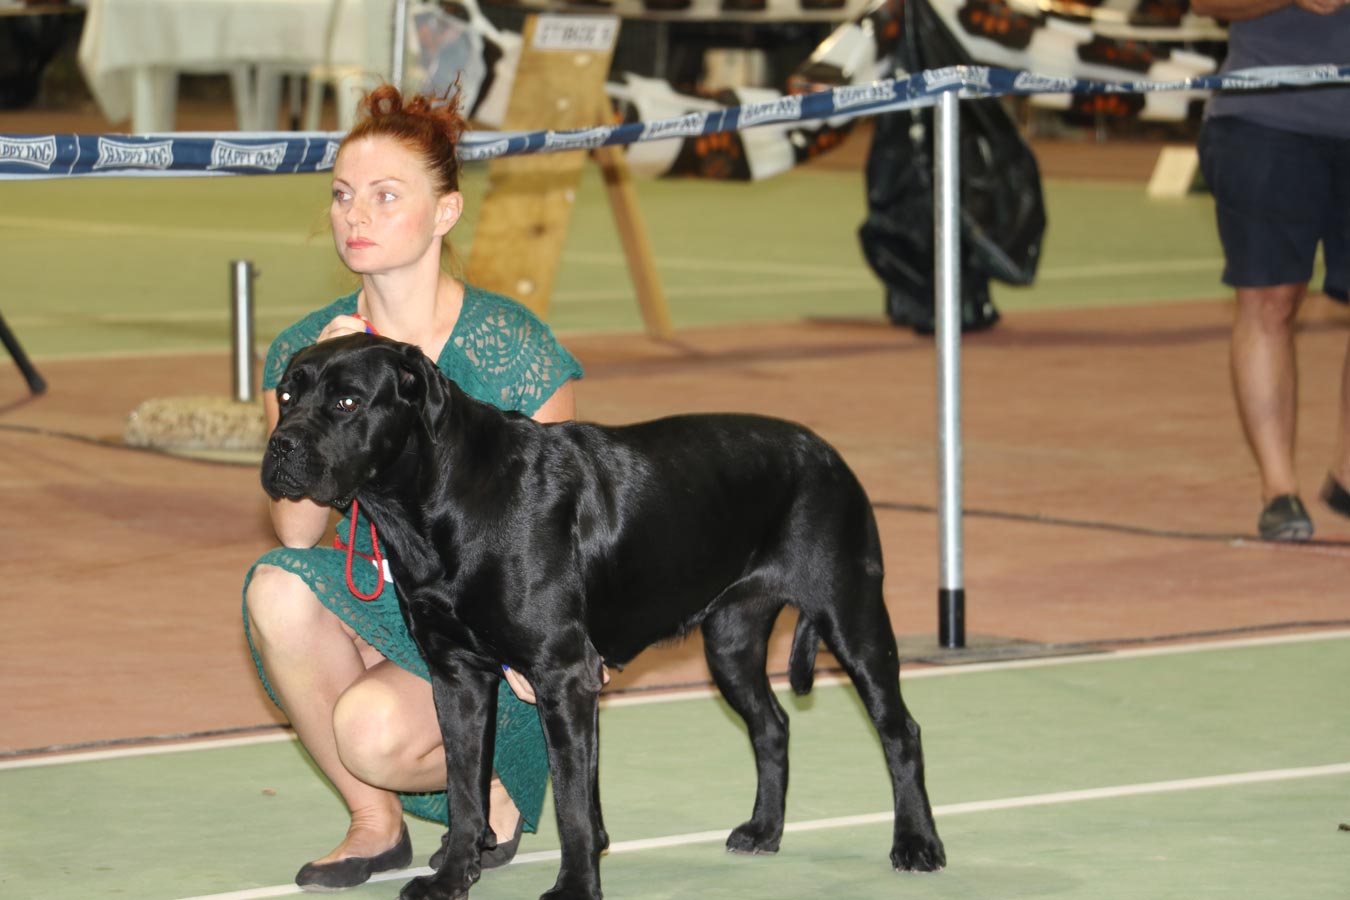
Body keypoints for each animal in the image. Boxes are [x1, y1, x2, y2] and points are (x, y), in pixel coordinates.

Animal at [262, 333, 945, 900]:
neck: (440, 499)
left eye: (348, 401)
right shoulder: (456, 675)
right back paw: (763, 830)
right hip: (731, 642)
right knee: (772, 725)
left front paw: (573, 889)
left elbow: (570, 803)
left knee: (901, 730)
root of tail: (827, 452)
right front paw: (453, 878)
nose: (279, 445)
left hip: (853, 618)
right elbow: (464, 789)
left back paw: (916, 845)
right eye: (287, 394)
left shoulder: (562, 675)